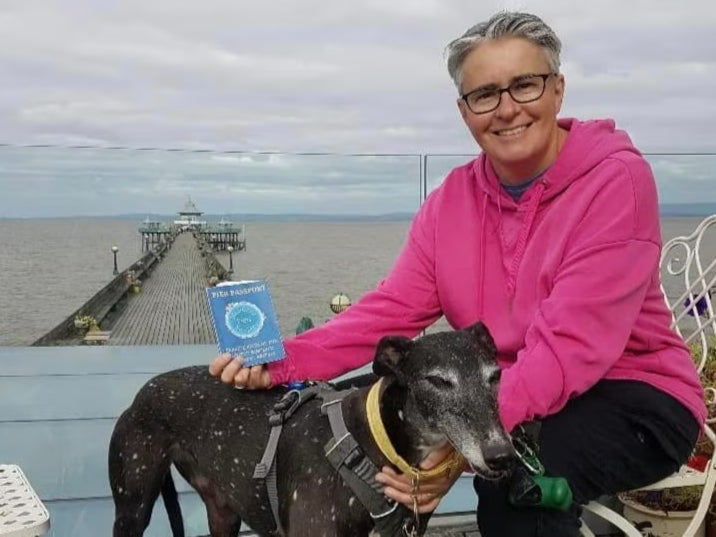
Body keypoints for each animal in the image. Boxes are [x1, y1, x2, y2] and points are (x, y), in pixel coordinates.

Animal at [107, 320, 516, 532]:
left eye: (495, 376)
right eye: (438, 381)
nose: (501, 456)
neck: (369, 444)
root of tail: (144, 391)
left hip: (223, 510)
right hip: (132, 506)